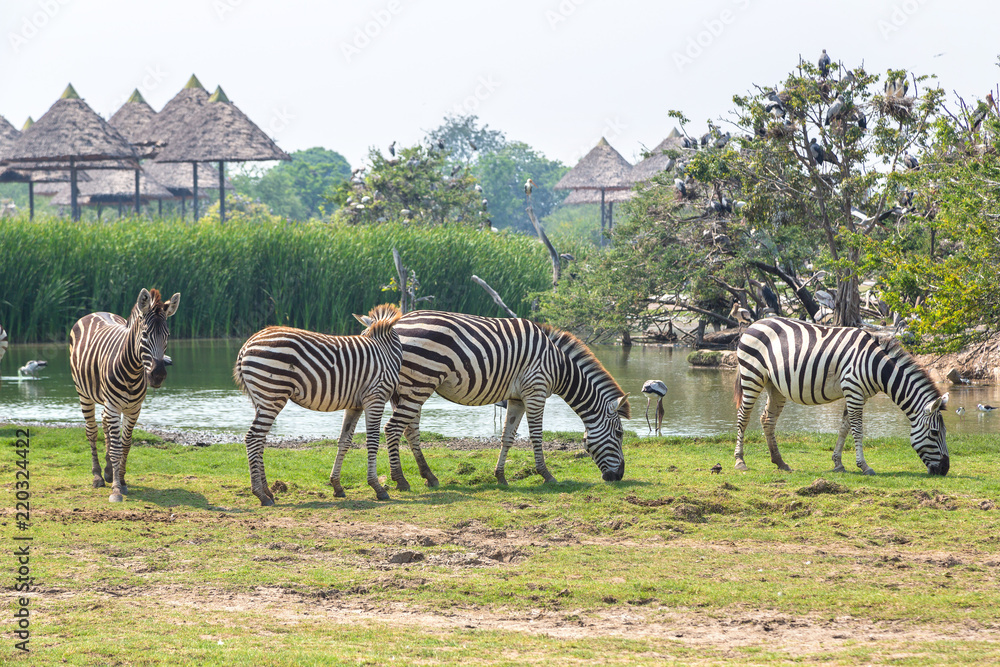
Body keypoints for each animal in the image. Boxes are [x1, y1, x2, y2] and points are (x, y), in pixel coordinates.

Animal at [70, 288, 181, 502]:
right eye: (145, 334)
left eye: (168, 335)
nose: (158, 375)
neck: (133, 371)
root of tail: (96, 312)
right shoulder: (113, 406)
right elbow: (116, 448)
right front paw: (115, 490)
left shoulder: (134, 409)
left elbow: (126, 445)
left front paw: (121, 480)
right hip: (83, 393)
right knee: (92, 431)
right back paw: (98, 476)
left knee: (104, 423)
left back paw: (107, 471)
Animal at [234, 303, 403, 505]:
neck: (385, 351)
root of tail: (247, 344)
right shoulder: (375, 397)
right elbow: (373, 441)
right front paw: (377, 487)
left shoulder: (355, 405)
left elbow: (344, 441)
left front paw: (337, 486)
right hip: (272, 395)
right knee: (253, 438)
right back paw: (260, 494)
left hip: (261, 399)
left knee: (260, 440)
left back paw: (268, 492)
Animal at [370, 310, 630, 492]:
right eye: (619, 434)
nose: (619, 476)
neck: (559, 366)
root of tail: (395, 325)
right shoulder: (535, 391)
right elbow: (536, 436)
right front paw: (546, 475)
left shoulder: (517, 398)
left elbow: (507, 437)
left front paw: (501, 476)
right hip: (420, 382)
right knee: (393, 428)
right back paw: (401, 481)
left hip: (410, 388)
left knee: (409, 430)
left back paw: (429, 477)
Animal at [734, 317, 949, 475]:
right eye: (934, 433)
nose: (944, 470)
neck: (876, 366)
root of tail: (755, 323)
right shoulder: (853, 390)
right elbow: (857, 429)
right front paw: (864, 466)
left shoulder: (858, 394)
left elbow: (845, 427)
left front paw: (838, 463)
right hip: (752, 375)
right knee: (743, 417)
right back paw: (740, 461)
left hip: (774, 385)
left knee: (767, 420)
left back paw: (780, 462)